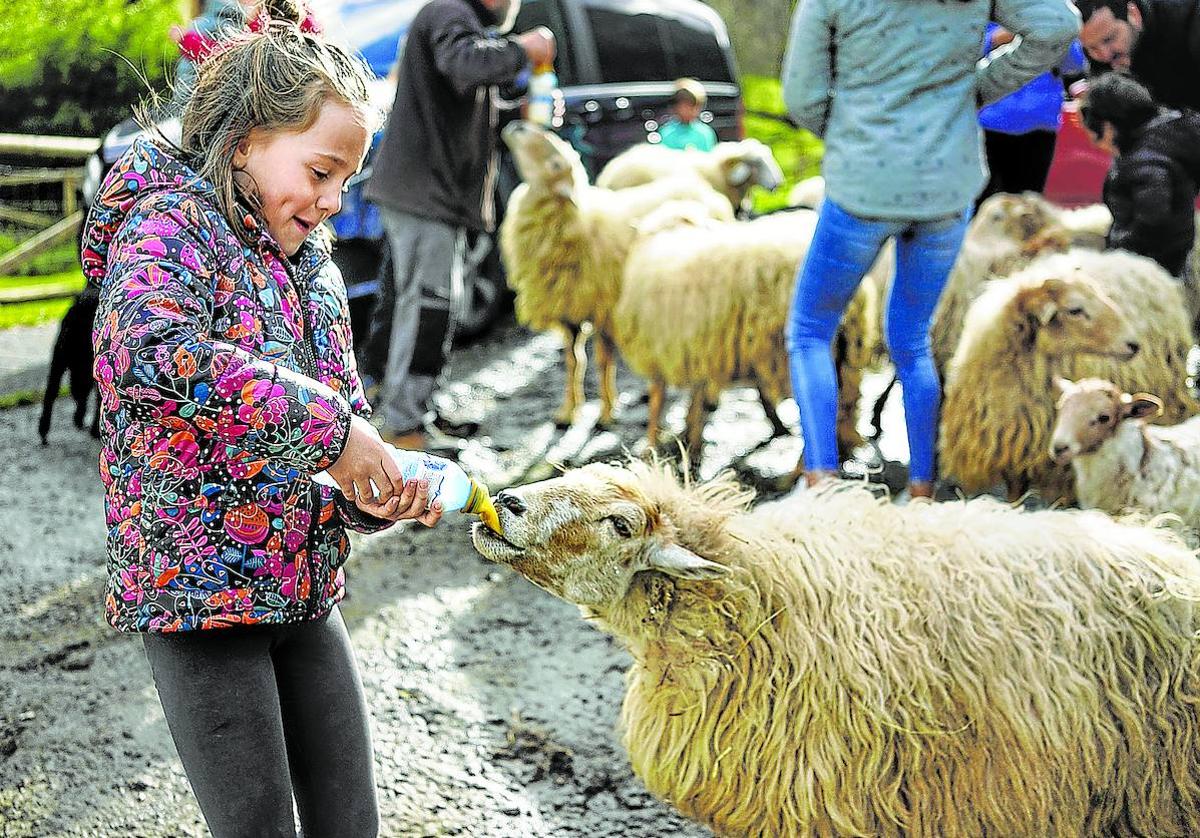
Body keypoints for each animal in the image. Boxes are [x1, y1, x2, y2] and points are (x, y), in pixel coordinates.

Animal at [499, 118, 739, 425]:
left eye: (555, 164)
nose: (518, 125)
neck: (577, 223)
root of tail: (707, 192)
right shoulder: (568, 309)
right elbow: (573, 361)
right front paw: (568, 411)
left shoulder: (603, 308)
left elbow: (603, 362)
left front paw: (605, 414)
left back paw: (710, 398)